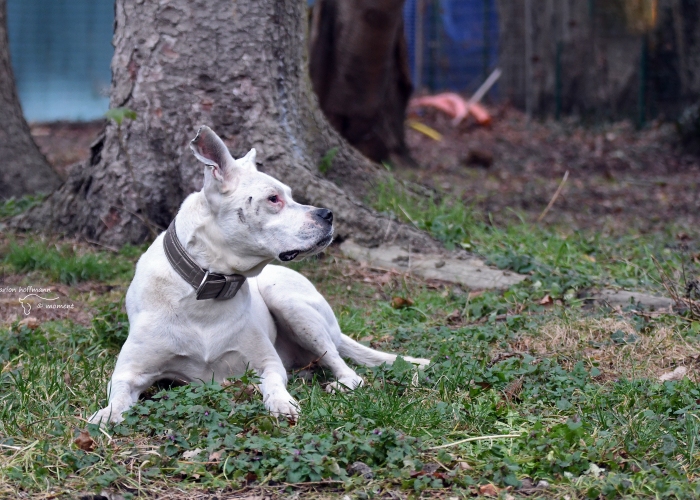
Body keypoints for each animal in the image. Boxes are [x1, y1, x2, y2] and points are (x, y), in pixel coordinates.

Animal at [87, 127, 426, 424]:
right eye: (273, 198)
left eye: (290, 195)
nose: (328, 214)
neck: (206, 288)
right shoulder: (129, 372)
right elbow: (118, 394)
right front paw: (107, 414)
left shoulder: (267, 363)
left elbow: (273, 383)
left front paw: (282, 402)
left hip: (290, 303)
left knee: (347, 370)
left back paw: (338, 383)